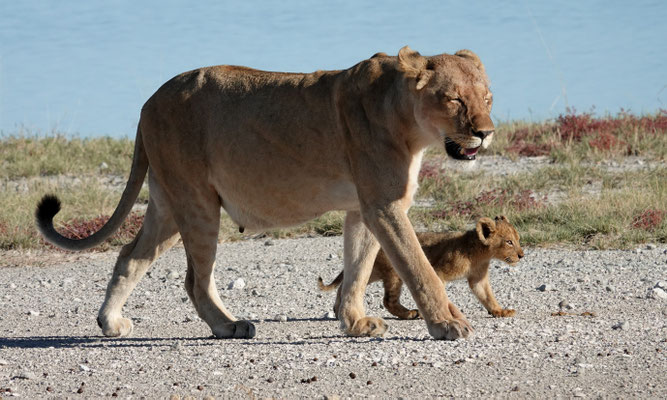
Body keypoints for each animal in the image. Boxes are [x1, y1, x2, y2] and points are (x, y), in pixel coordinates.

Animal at [36, 46, 495, 340]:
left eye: (488, 98)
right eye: (455, 100)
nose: (486, 132)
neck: (410, 124)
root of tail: (148, 101)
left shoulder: (364, 208)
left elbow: (359, 268)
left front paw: (354, 322)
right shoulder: (384, 205)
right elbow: (419, 268)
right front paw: (448, 324)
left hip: (168, 203)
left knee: (131, 256)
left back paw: (111, 323)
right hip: (197, 201)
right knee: (195, 278)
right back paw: (228, 326)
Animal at [319, 216, 524, 320]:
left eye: (518, 239)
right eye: (509, 242)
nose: (522, 255)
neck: (479, 255)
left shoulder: (478, 278)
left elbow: (487, 296)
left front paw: (500, 311)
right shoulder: (440, 270)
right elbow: (438, 292)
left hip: (374, 271)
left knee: (347, 284)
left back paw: (338, 310)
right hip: (393, 273)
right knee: (388, 301)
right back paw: (410, 314)